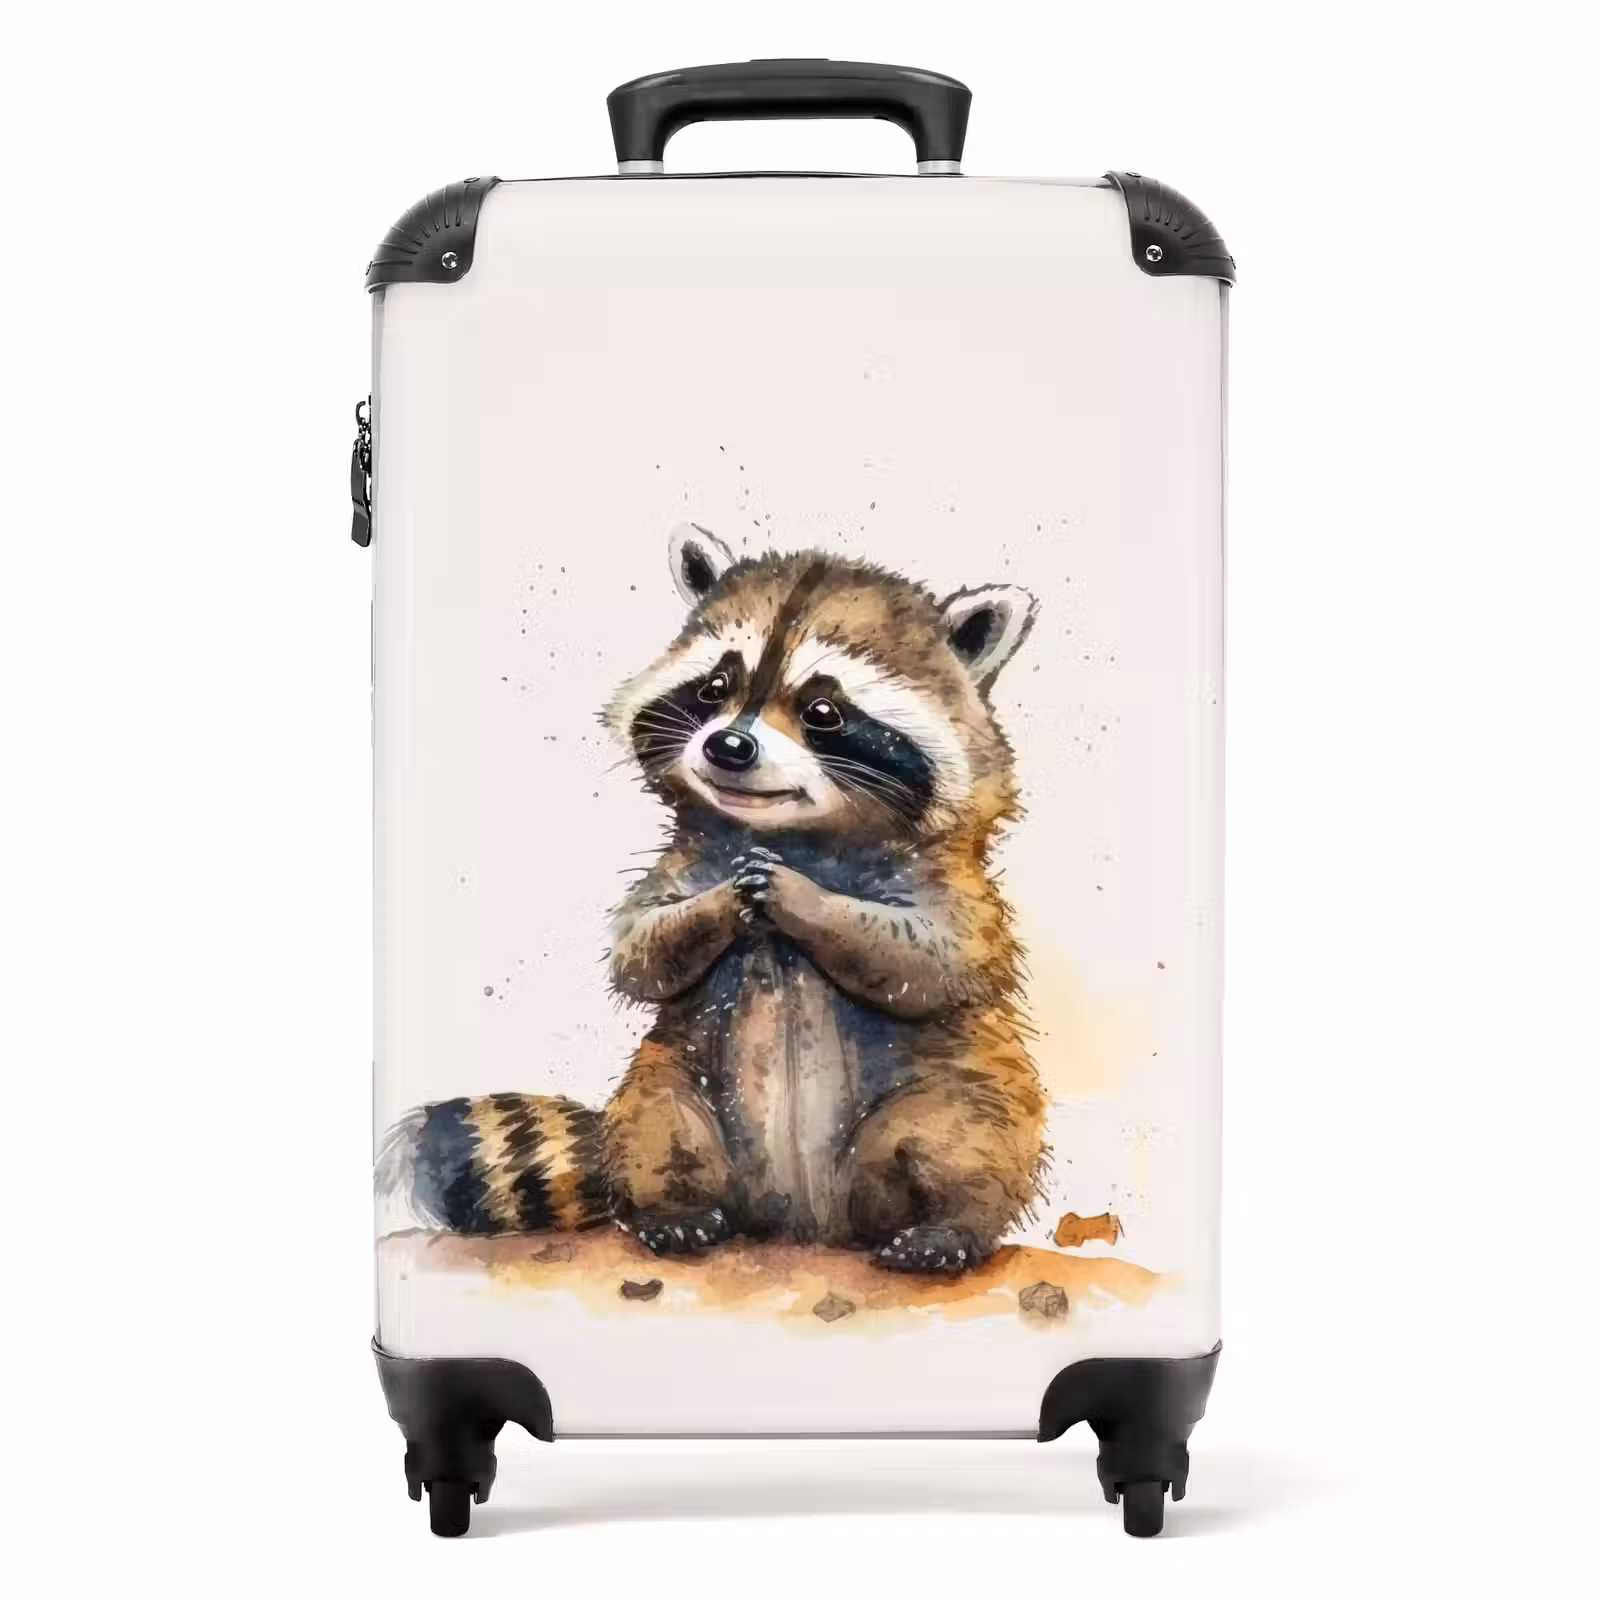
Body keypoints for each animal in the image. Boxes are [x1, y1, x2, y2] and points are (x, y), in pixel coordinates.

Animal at [381, 524, 1048, 1275]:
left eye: (823, 712)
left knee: (960, 1137)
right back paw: (677, 1211)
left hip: (946, 1094)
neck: (788, 834)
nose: (730, 745)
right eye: (715, 688)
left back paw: (948, 1225)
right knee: (660, 1127)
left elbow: (933, 959)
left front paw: (808, 902)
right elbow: (639, 948)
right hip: (673, 1083)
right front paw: (722, 905)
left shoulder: (956, 889)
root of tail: (804, 1222)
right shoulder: (681, 864)